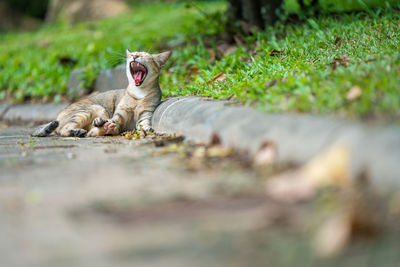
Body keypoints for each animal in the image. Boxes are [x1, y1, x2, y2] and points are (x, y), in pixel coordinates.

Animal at [32, 50, 170, 138]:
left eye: (145, 55)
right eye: (132, 54)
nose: (135, 56)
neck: (139, 93)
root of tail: (58, 115)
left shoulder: (146, 114)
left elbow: (144, 123)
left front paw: (147, 129)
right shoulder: (120, 113)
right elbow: (115, 119)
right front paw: (106, 123)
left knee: (90, 132)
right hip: (89, 110)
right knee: (63, 129)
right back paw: (81, 131)